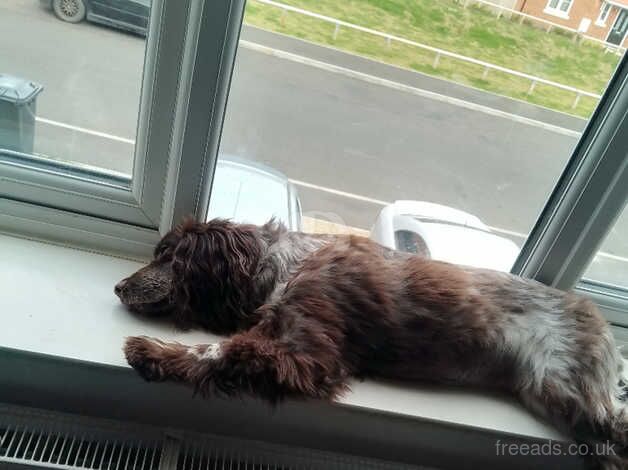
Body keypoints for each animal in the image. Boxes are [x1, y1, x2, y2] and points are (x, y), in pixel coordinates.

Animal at [118, 218, 628, 468]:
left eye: (167, 256)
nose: (119, 287)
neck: (288, 265)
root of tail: (600, 319)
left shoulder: (308, 353)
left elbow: (221, 351)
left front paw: (152, 353)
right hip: (552, 399)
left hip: (569, 388)